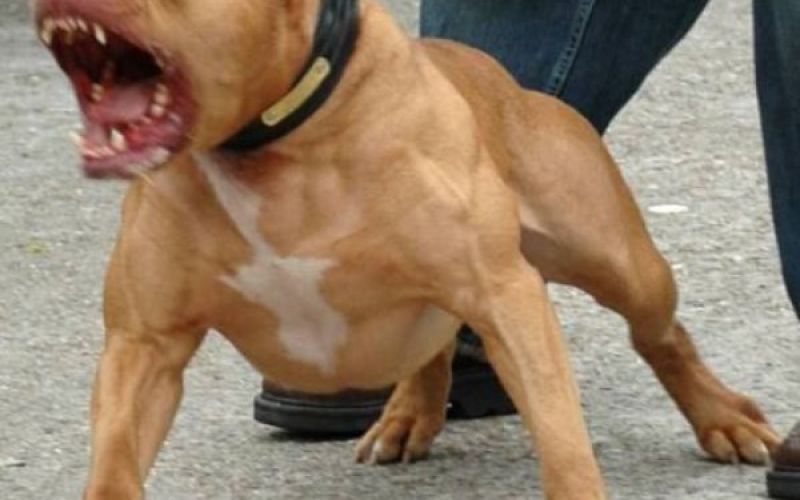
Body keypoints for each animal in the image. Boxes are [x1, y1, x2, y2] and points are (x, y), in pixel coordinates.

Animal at [34, 0, 779, 498]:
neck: (268, 148)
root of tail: (497, 75)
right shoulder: (144, 344)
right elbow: (114, 459)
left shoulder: (506, 295)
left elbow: (562, 437)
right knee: (434, 347)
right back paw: (407, 414)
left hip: (621, 266)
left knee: (662, 334)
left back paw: (724, 420)